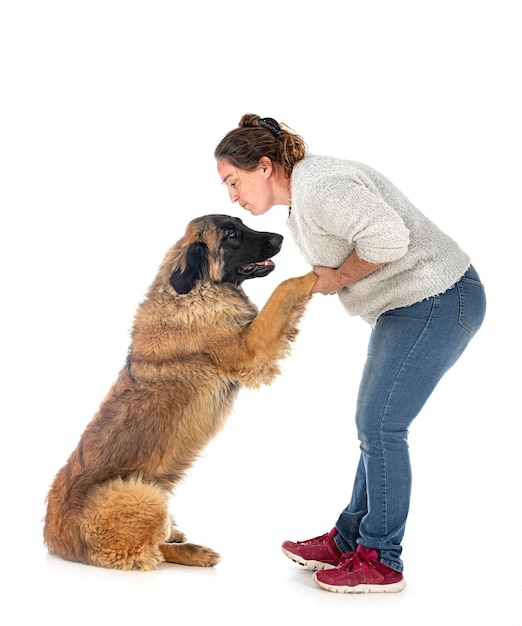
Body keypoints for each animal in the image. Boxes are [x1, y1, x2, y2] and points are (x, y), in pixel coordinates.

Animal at [42, 213, 314, 572]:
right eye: (231, 235)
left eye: (242, 223)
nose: (279, 238)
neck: (194, 289)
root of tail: (54, 538)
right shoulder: (249, 346)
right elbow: (285, 289)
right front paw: (320, 273)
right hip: (141, 494)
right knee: (151, 552)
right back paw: (195, 551)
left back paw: (176, 533)